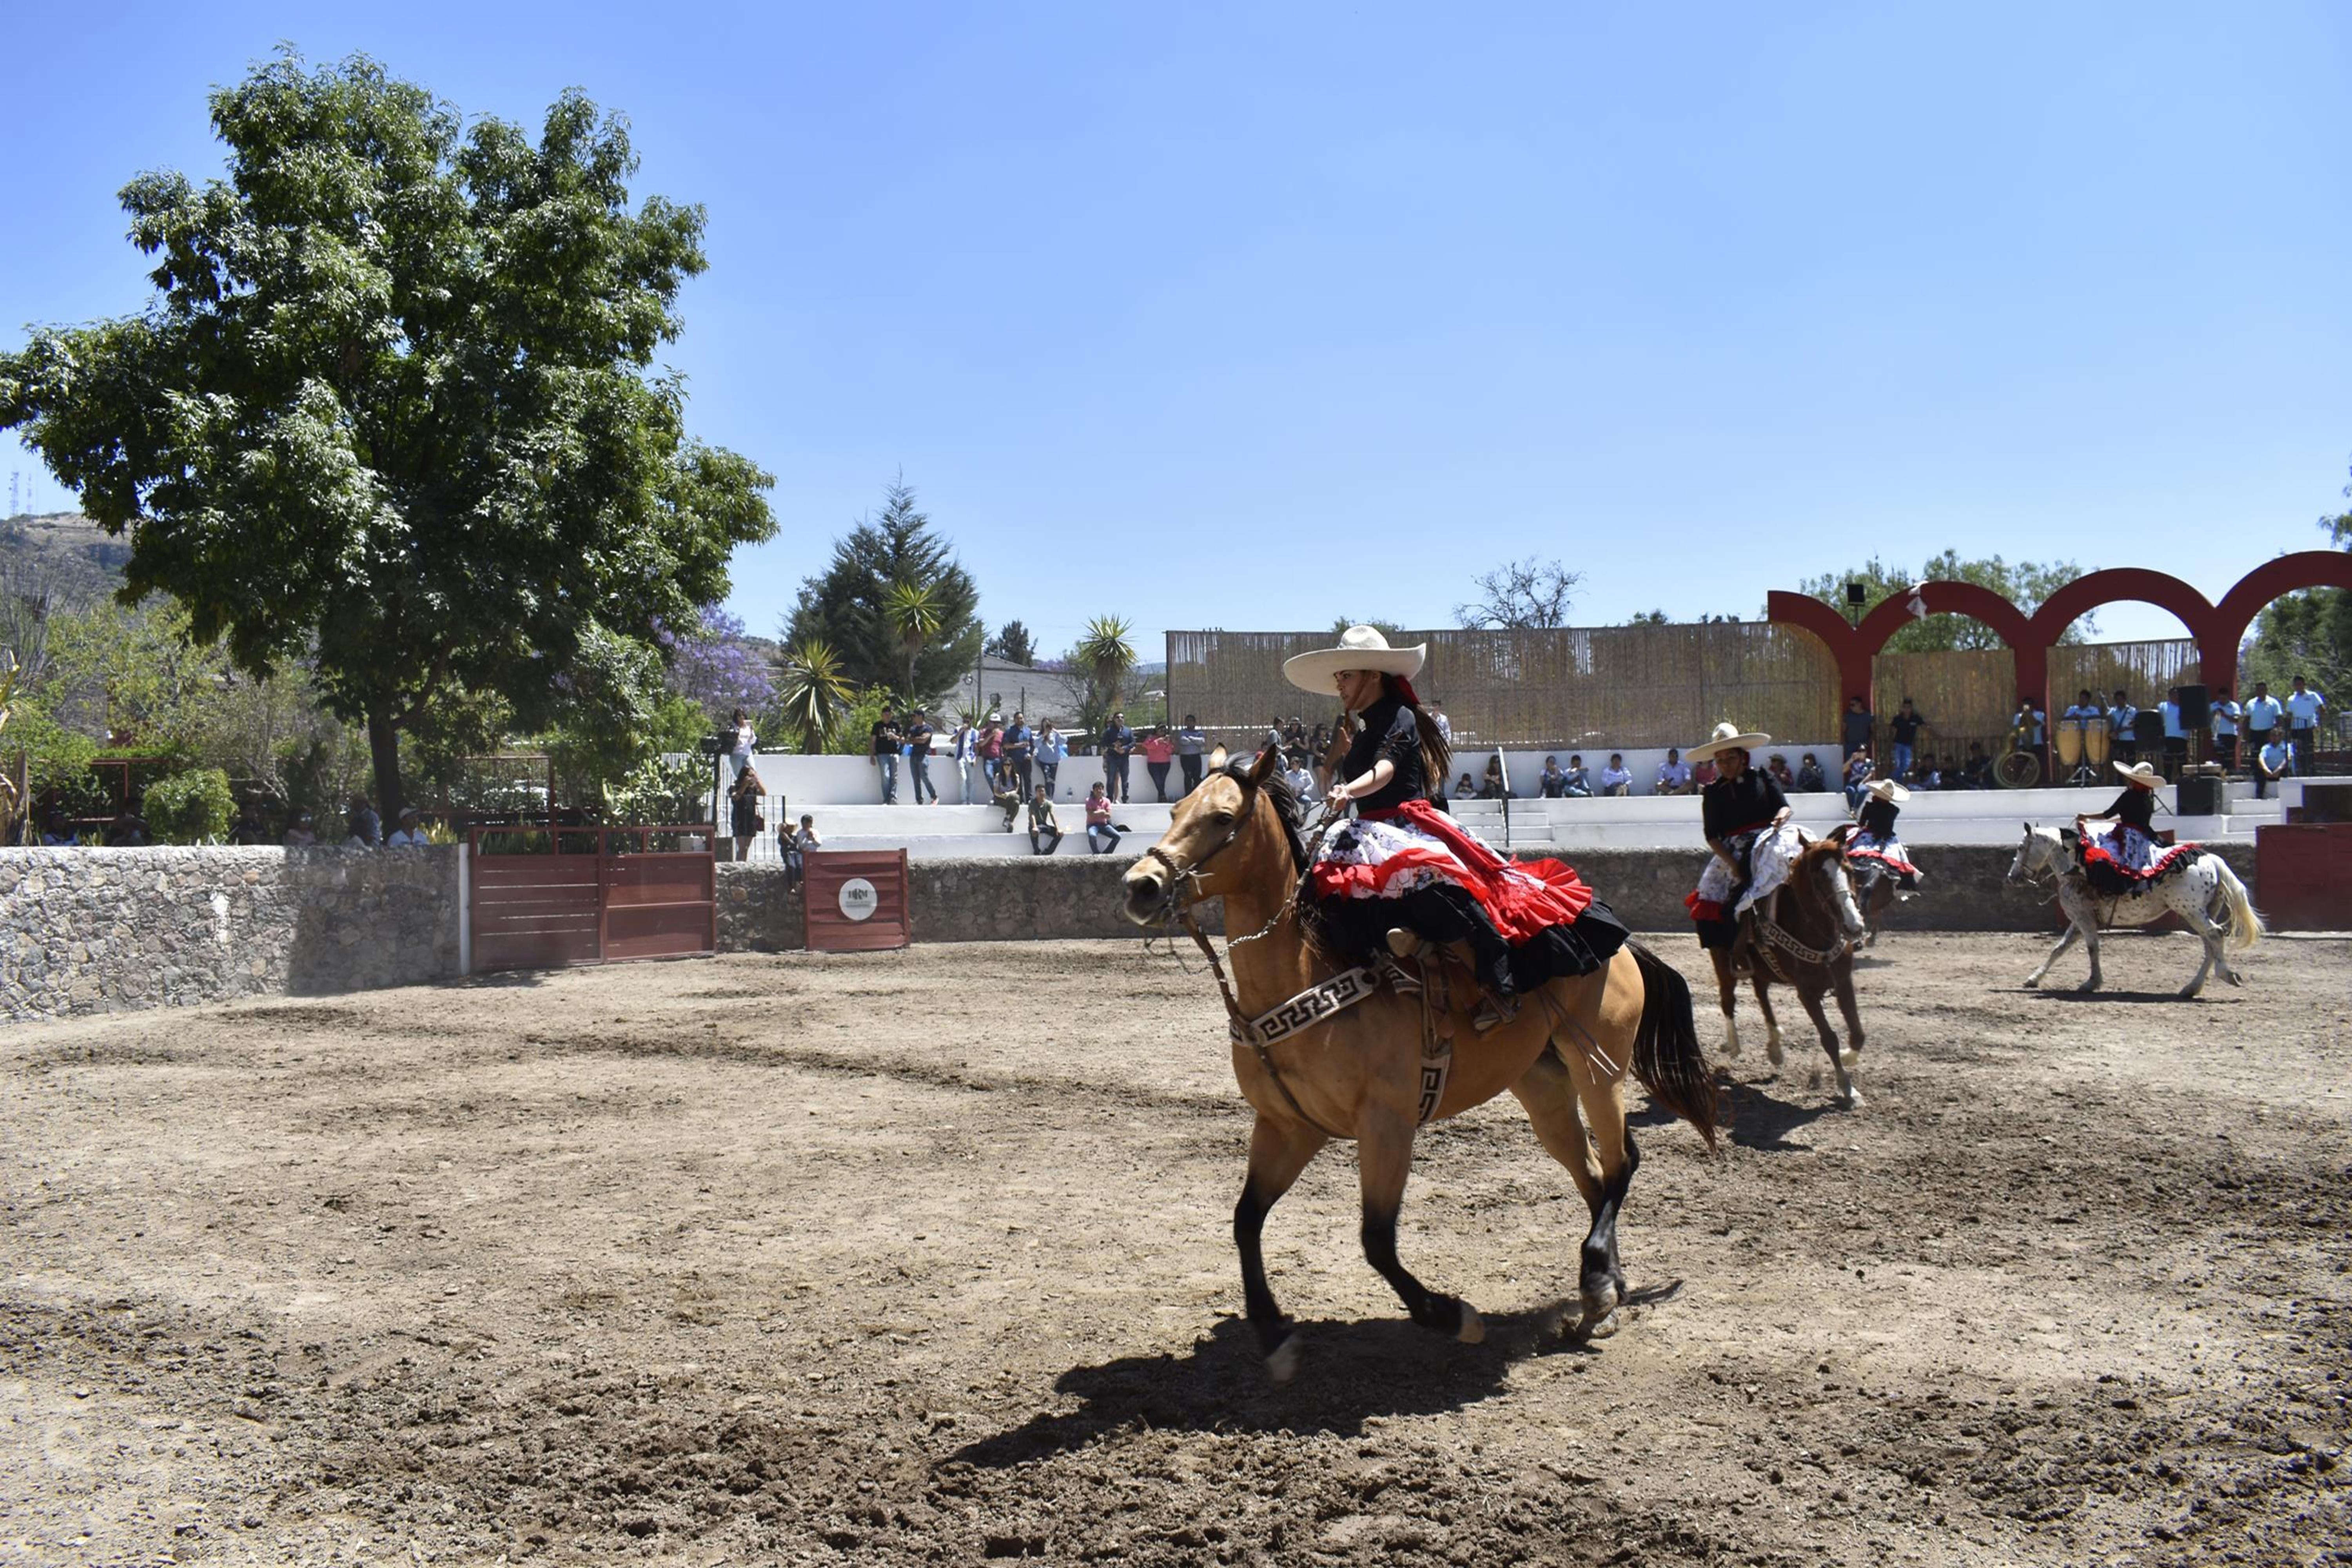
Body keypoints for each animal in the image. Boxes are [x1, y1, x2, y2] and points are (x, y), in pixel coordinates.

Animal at [1115, 752, 1712, 1382]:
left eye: (1223, 818)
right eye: (1175, 811)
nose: (1140, 886)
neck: (1306, 976)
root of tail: (1621, 946)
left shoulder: (1387, 1126)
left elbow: (1377, 1240)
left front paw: (1455, 1317)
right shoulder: (1288, 1127)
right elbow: (1246, 1219)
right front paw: (1275, 1337)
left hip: (1600, 1070)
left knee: (1622, 1164)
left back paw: (1597, 1283)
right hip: (1543, 1088)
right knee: (1595, 1175)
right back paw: (1606, 1294)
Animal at [1712, 827, 1872, 1109]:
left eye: (1850, 870)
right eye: (1819, 878)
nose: (1855, 927)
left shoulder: (1843, 981)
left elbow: (1858, 1033)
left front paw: (1847, 1058)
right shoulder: (1806, 992)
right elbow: (1829, 1038)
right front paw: (1847, 1088)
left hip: (1762, 969)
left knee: (1761, 994)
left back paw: (1775, 1048)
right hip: (1723, 964)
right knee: (1728, 1001)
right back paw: (1732, 1045)